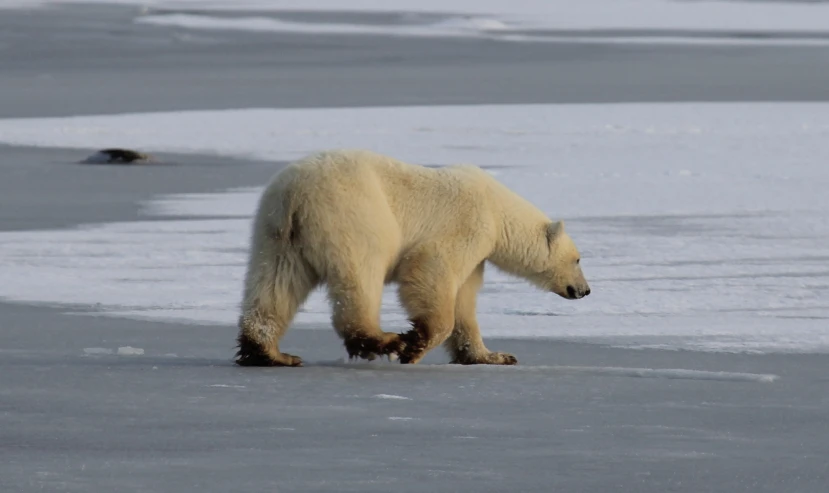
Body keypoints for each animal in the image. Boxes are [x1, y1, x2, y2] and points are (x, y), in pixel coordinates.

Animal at [236, 148, 592, 368]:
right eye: (578, 259)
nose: (585, 290)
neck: (497, 209)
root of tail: (293, 192)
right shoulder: (467, 226)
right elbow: (432, 271)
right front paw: (413, 346)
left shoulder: (477, 256)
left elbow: (465, 302)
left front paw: (494, 355)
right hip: (352, 214)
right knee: (361, 275)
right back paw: (382, 341)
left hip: (277, 233)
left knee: (275, 284)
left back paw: (269, 353)